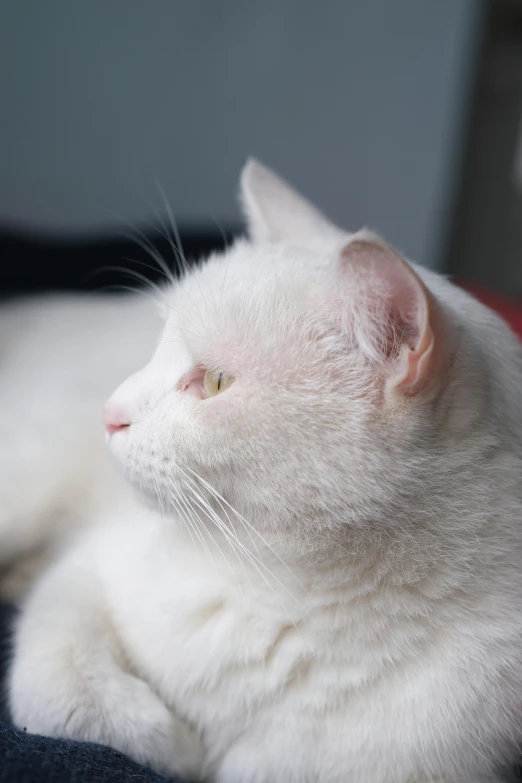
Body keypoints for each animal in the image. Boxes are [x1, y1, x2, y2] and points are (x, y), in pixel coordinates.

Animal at [4, 161, 520, 783]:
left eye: (216, 382)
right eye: (157, 345)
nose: (109, 412)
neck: (280, 594)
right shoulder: (87, 572)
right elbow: (65, 698)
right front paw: (173, 740)